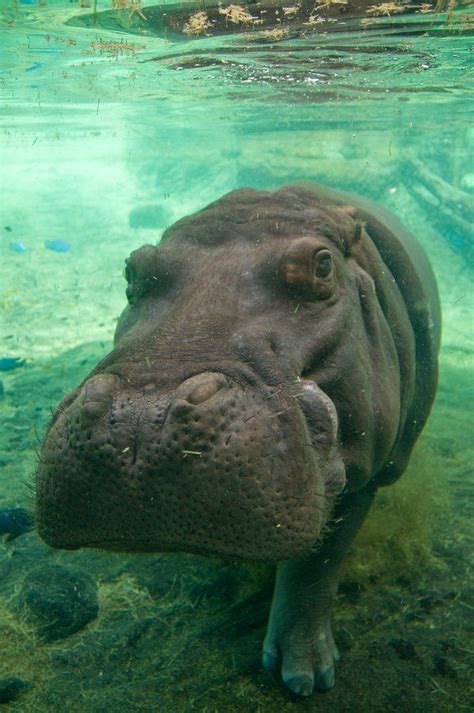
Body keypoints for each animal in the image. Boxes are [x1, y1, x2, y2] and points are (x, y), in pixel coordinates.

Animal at [36, 184, 440, 696]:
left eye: (323, 266)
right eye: (132, 269)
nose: (141, 421)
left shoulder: (365, 473)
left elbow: (316, 566)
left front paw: (304, 676)